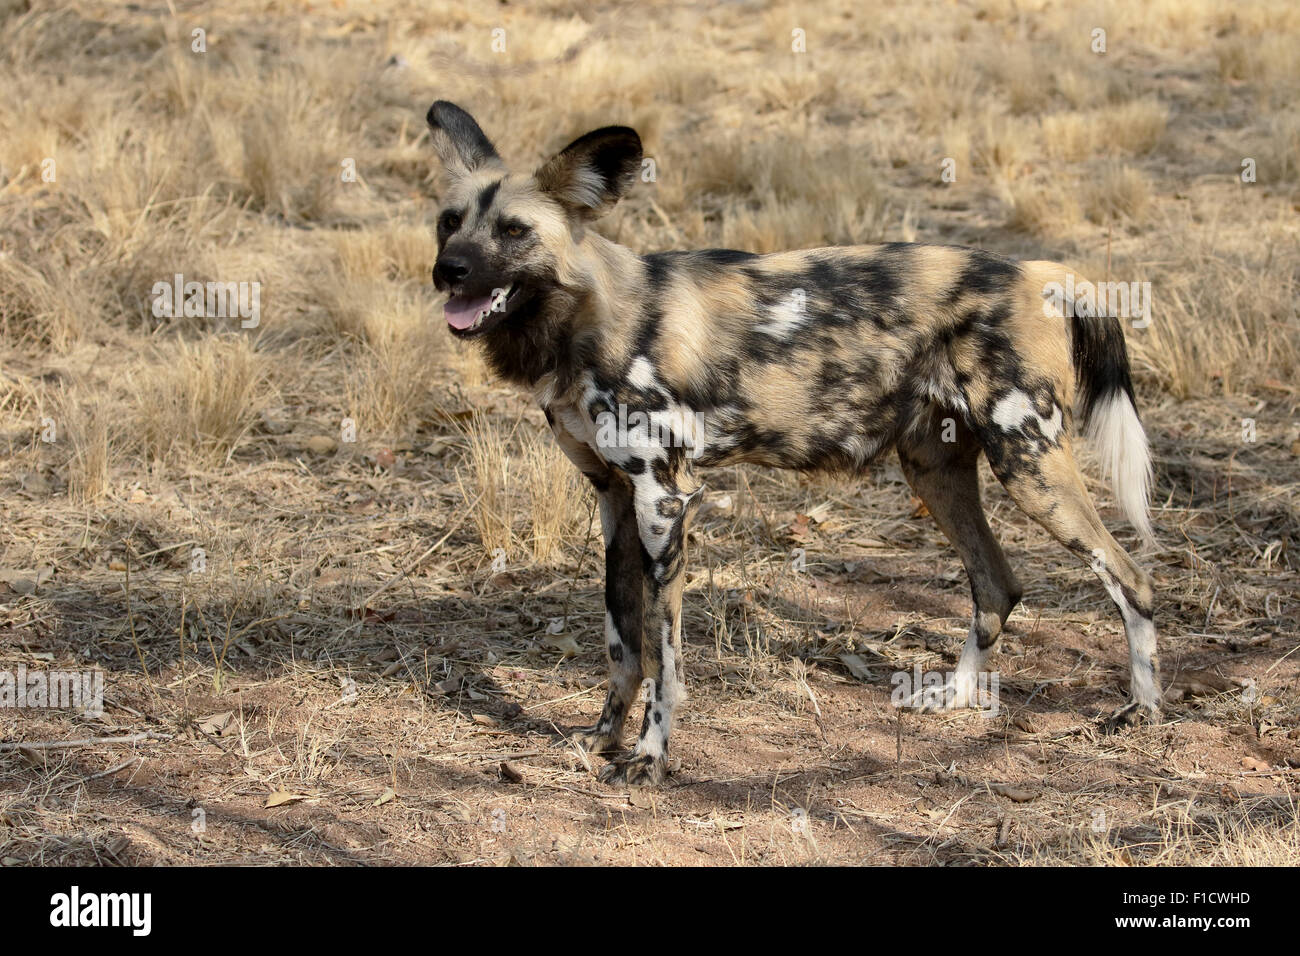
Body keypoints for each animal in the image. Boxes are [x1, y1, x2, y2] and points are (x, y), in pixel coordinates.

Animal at [423, 100, 1159, 785]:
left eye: (514, 232)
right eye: (448, 222)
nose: (448, 271)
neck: (588, 322)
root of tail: (1040, 273)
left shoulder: (664, 504)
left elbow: (663, 659)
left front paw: (651, 757)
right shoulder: (613, 500)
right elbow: (621, 645)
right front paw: (602, 737)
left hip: (1029, 466)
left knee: (1132, 577)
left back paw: (1142, 711)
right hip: (935, 471)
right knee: (998, 586)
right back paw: (954, 695)